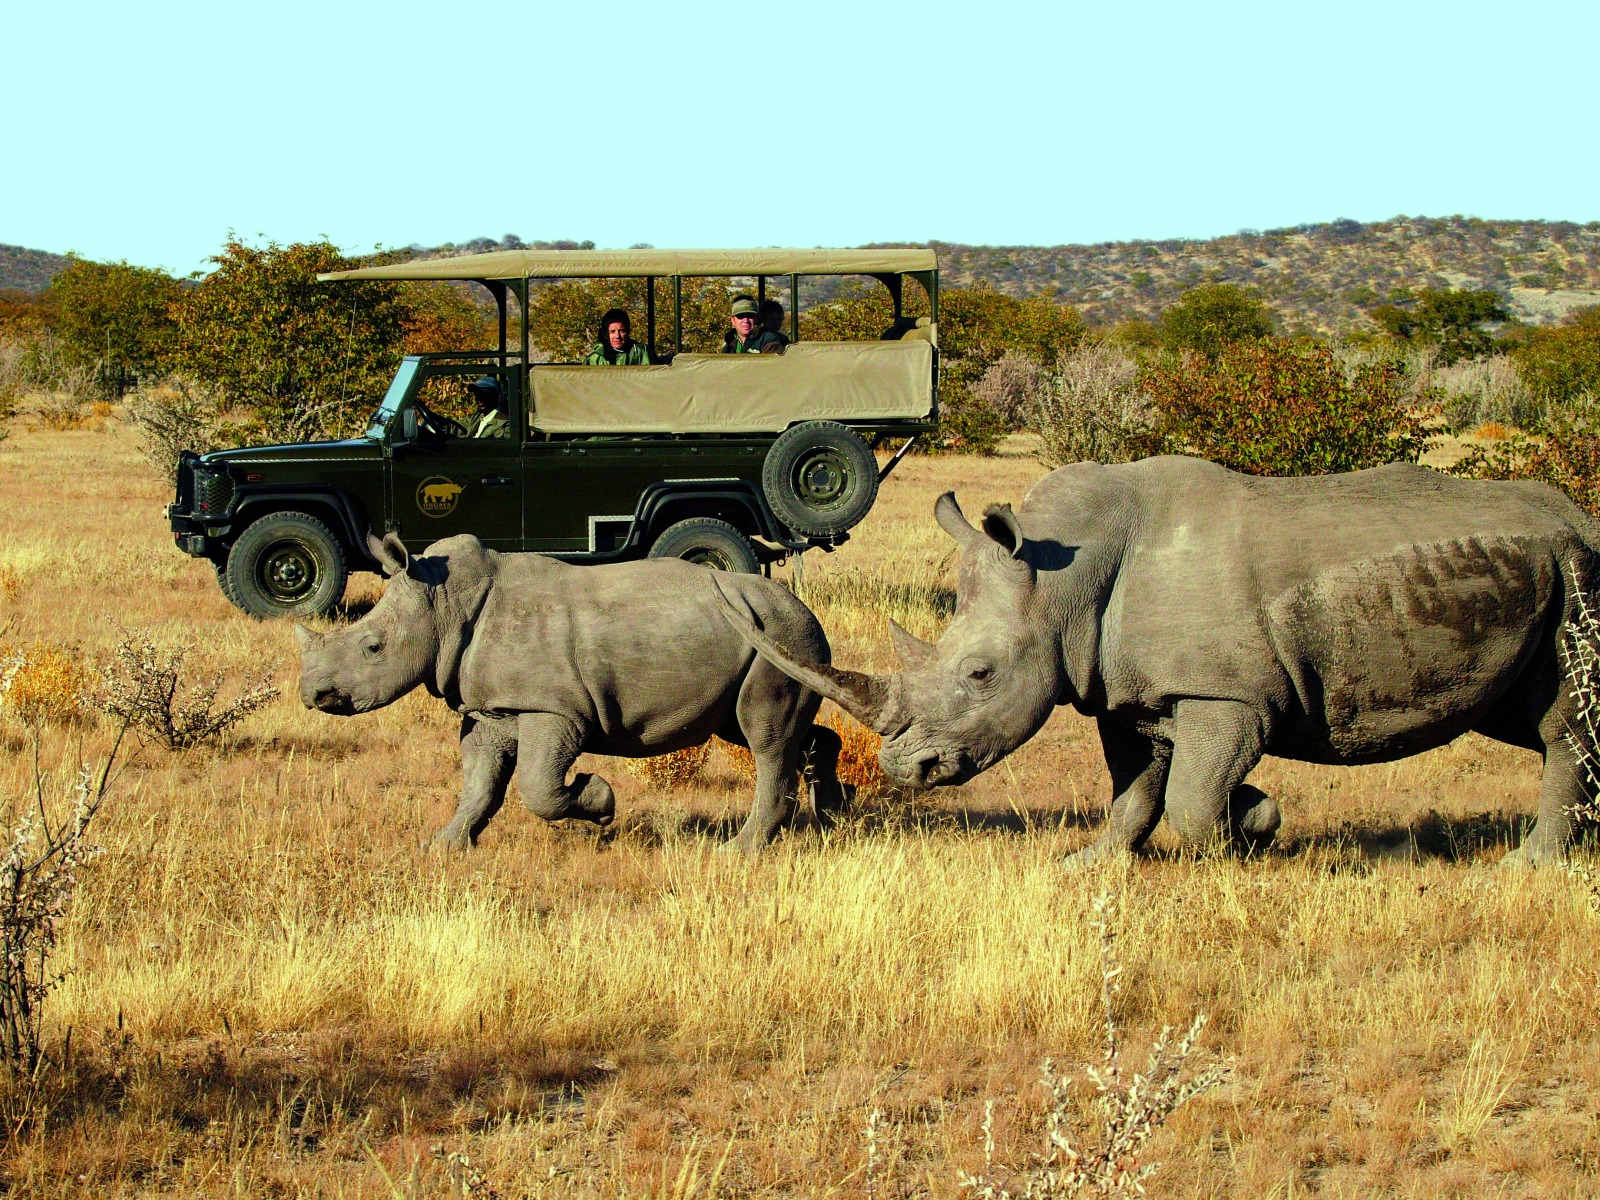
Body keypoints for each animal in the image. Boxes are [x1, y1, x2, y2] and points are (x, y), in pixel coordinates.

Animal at [296, 532, 845, 854]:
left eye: (372, 647)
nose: (312, 695)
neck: (444, 602)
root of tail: (807, 612)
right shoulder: (492, 709)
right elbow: (479, 783)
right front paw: (443, 847)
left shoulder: (552, 708)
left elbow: (537, 785)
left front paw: (600, 802)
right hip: (770, 638)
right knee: (763, 732)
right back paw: (834, 815)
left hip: (778, 637)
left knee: (764, 739)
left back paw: (737, 851)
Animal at [717, 456, 1600, 867]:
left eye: (980, 675)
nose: (905, 770)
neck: (1061, 580)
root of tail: (1579, 513)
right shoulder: (1121, 690)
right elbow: (1137, 789)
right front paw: (1092, 862)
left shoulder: (1227, 696)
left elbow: (1193, 801)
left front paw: (1254, 826)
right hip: (1537, 575)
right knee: (1525, 718)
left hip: (1575, 571)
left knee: (1560, 723)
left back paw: (1526, 866)